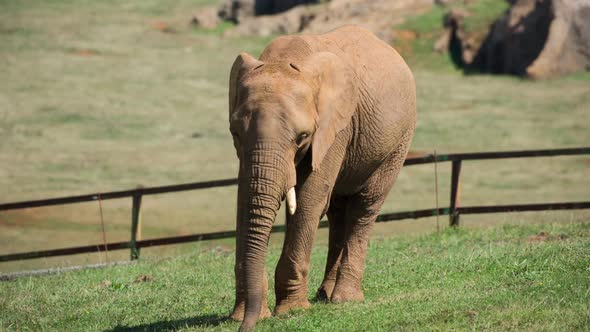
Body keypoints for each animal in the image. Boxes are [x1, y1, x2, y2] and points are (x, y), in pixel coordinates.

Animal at [227, 24, 416, 330]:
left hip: (399, 141)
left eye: (302, 136)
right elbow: (244, 199)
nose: (247, 325)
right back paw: (325, 295)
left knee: (365, 206)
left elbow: (309, 199)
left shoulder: (336, 126)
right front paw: (241, 315)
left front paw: (292, 311)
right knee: (338, 210)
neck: (285, 60)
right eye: (235, 133)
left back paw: (345, 299)